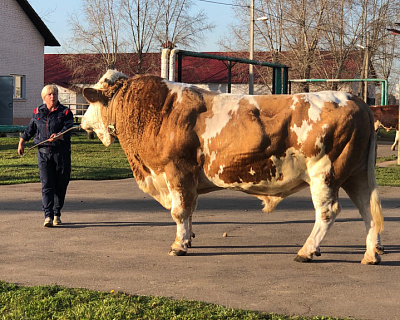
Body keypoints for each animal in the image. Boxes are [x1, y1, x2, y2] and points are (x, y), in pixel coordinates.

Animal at [81, 70, 384, 264]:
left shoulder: (176, 171)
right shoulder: (186, 179)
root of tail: (353, 97)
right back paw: (371, 254)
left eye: (91, 100)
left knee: (328, 212)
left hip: (325, 173)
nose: (82, 122)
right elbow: (190, 209)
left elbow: (180, 211)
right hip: (356, 174)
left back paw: (307, 251)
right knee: (367, 210)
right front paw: (189, 238)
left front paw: (179, 245)